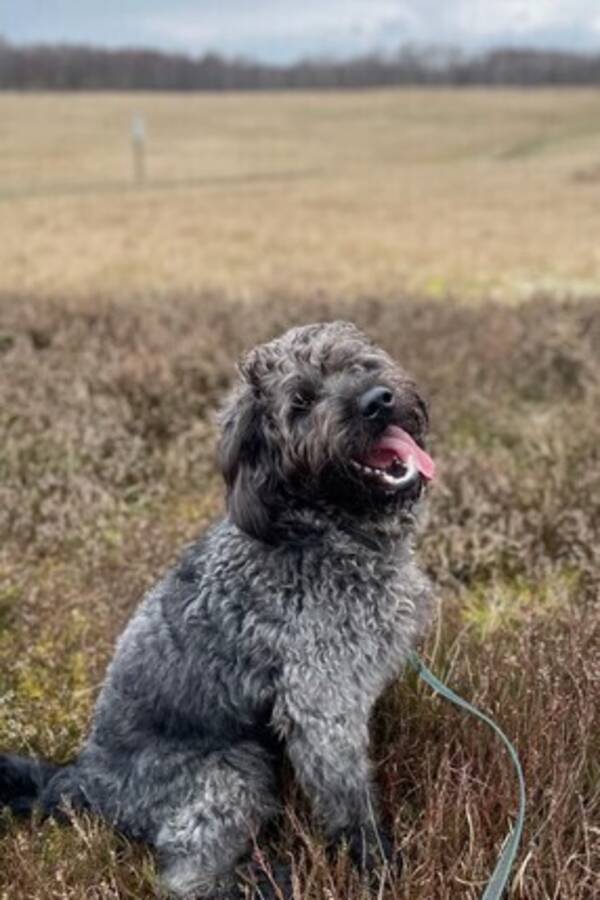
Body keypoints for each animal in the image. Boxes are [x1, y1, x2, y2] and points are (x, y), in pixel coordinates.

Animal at [0, 320, 436, 896]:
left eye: (358, 364)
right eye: (301, 401)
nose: (377, 401)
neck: (325, 531)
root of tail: (83, 779)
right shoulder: (320, 706)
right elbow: (349, 802)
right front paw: (378, 867)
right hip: (232, 771)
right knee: (185, 875)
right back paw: (265, 880)